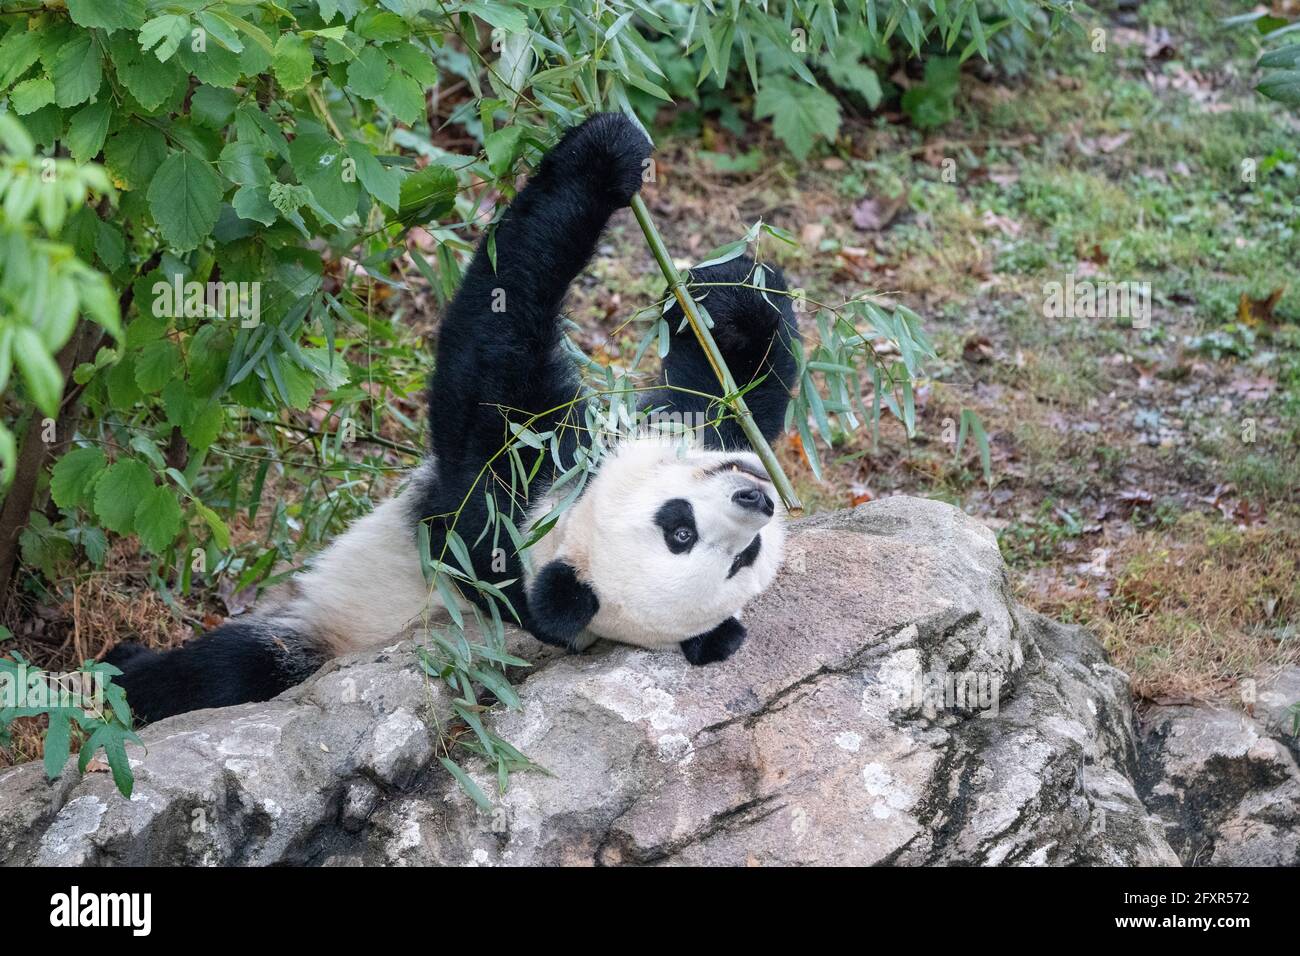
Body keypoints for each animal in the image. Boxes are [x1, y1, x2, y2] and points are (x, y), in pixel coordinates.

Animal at [109, 111, 800, 723]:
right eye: (679, 528)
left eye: (739, 557)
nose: (757, 500)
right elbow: (723, 390)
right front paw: (726, 291)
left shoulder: (500, 505)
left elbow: (490, 349)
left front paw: (601, 157)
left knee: (228, 671)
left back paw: (123, 667)